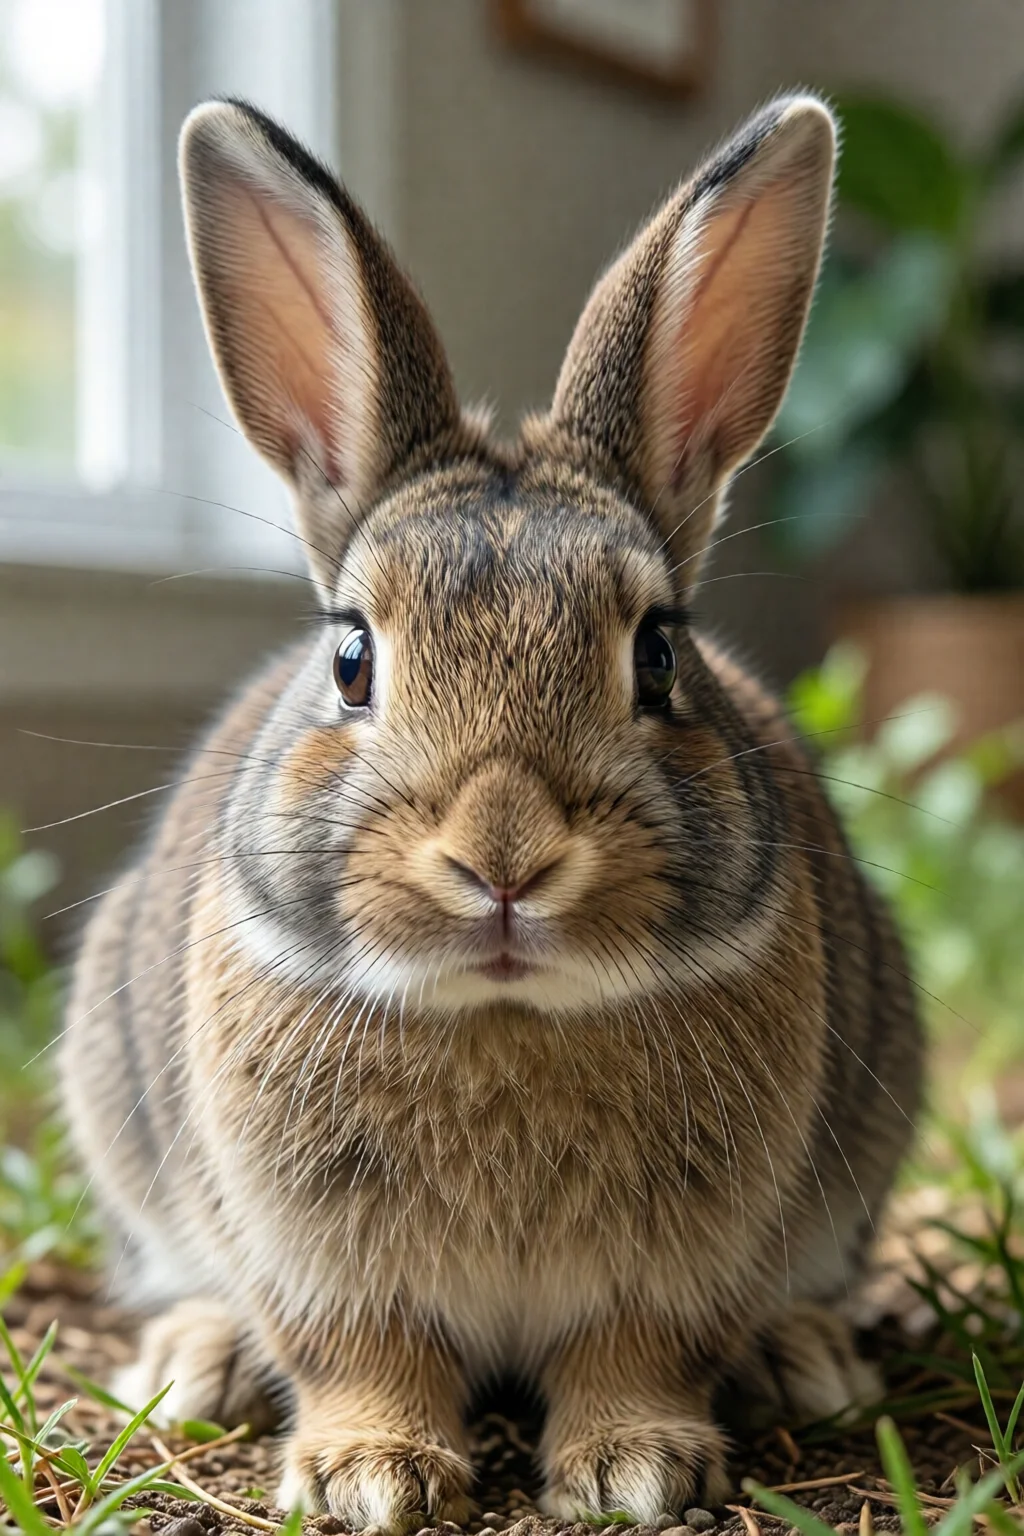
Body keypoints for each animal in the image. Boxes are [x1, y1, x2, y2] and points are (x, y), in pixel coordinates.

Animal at [60, 92, 923, 1531]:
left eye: (658, 655)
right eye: (353, 657)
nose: (504, 859)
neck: (505, 1015)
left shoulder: (676, 1276)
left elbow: (637, 1355)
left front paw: (636, 1465)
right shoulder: (323, 1269)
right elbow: (363, 1358)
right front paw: (369, 1474)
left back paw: (803, 1358)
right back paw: (198, 1358)